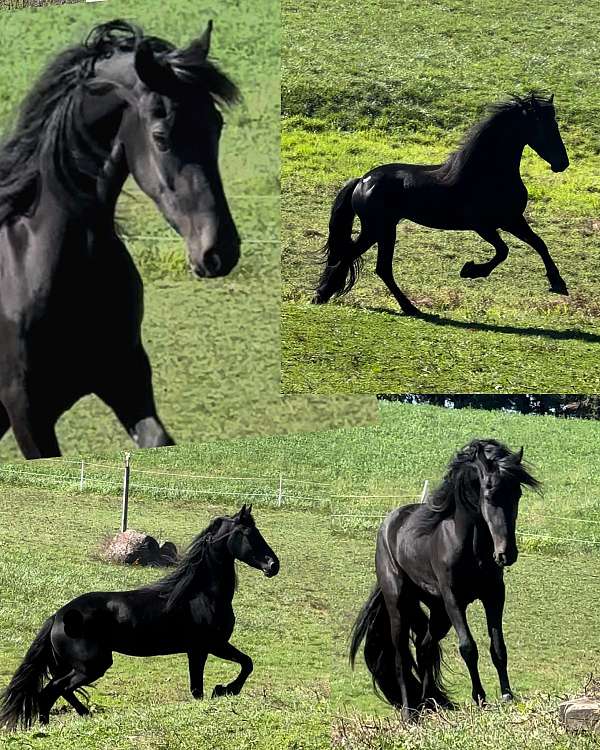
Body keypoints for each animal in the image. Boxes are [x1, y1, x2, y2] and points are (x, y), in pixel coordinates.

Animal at [0, 19, 241, 458]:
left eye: (216, 125)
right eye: (161, 136)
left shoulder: (126, 379)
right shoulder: (26, 410)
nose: (219, 251)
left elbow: (157, 440)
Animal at [0, 505, 279, 730]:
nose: (273, 565)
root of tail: (56, 617)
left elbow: (218, 678)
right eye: (247, 534)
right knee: (52, 691)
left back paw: (75, 717)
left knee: (54, 691)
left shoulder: (199, 650)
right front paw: (225, 689)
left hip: (75, 666)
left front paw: (222, 690)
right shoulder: (210, 646)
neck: (200, 594)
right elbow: (240, 667)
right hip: (92, 665)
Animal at [313, 93, 569, 316]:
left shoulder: (512, 220)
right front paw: (471, 270)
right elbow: (503, 251)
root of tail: (362, 180)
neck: (487, 174)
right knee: (367, 263)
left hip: (378, 230)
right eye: (544, 125)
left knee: (370, 264)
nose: (562, 163)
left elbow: (539, 244)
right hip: (379, 229)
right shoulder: (484, 226)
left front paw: (558, 284)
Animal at [349, 439, 540, 722]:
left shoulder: (494, 595)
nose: (507, 554)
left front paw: (507, 696)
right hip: (401, 605)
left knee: (425, 647)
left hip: (438, 613)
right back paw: (409, 712)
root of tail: (389, 524)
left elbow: (498, 647)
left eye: (517, 495)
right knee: (401, 655)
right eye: (488, 494)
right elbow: (468, 647)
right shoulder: (454, 599)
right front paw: (480, 698)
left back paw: (431, 702)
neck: (470, 546)